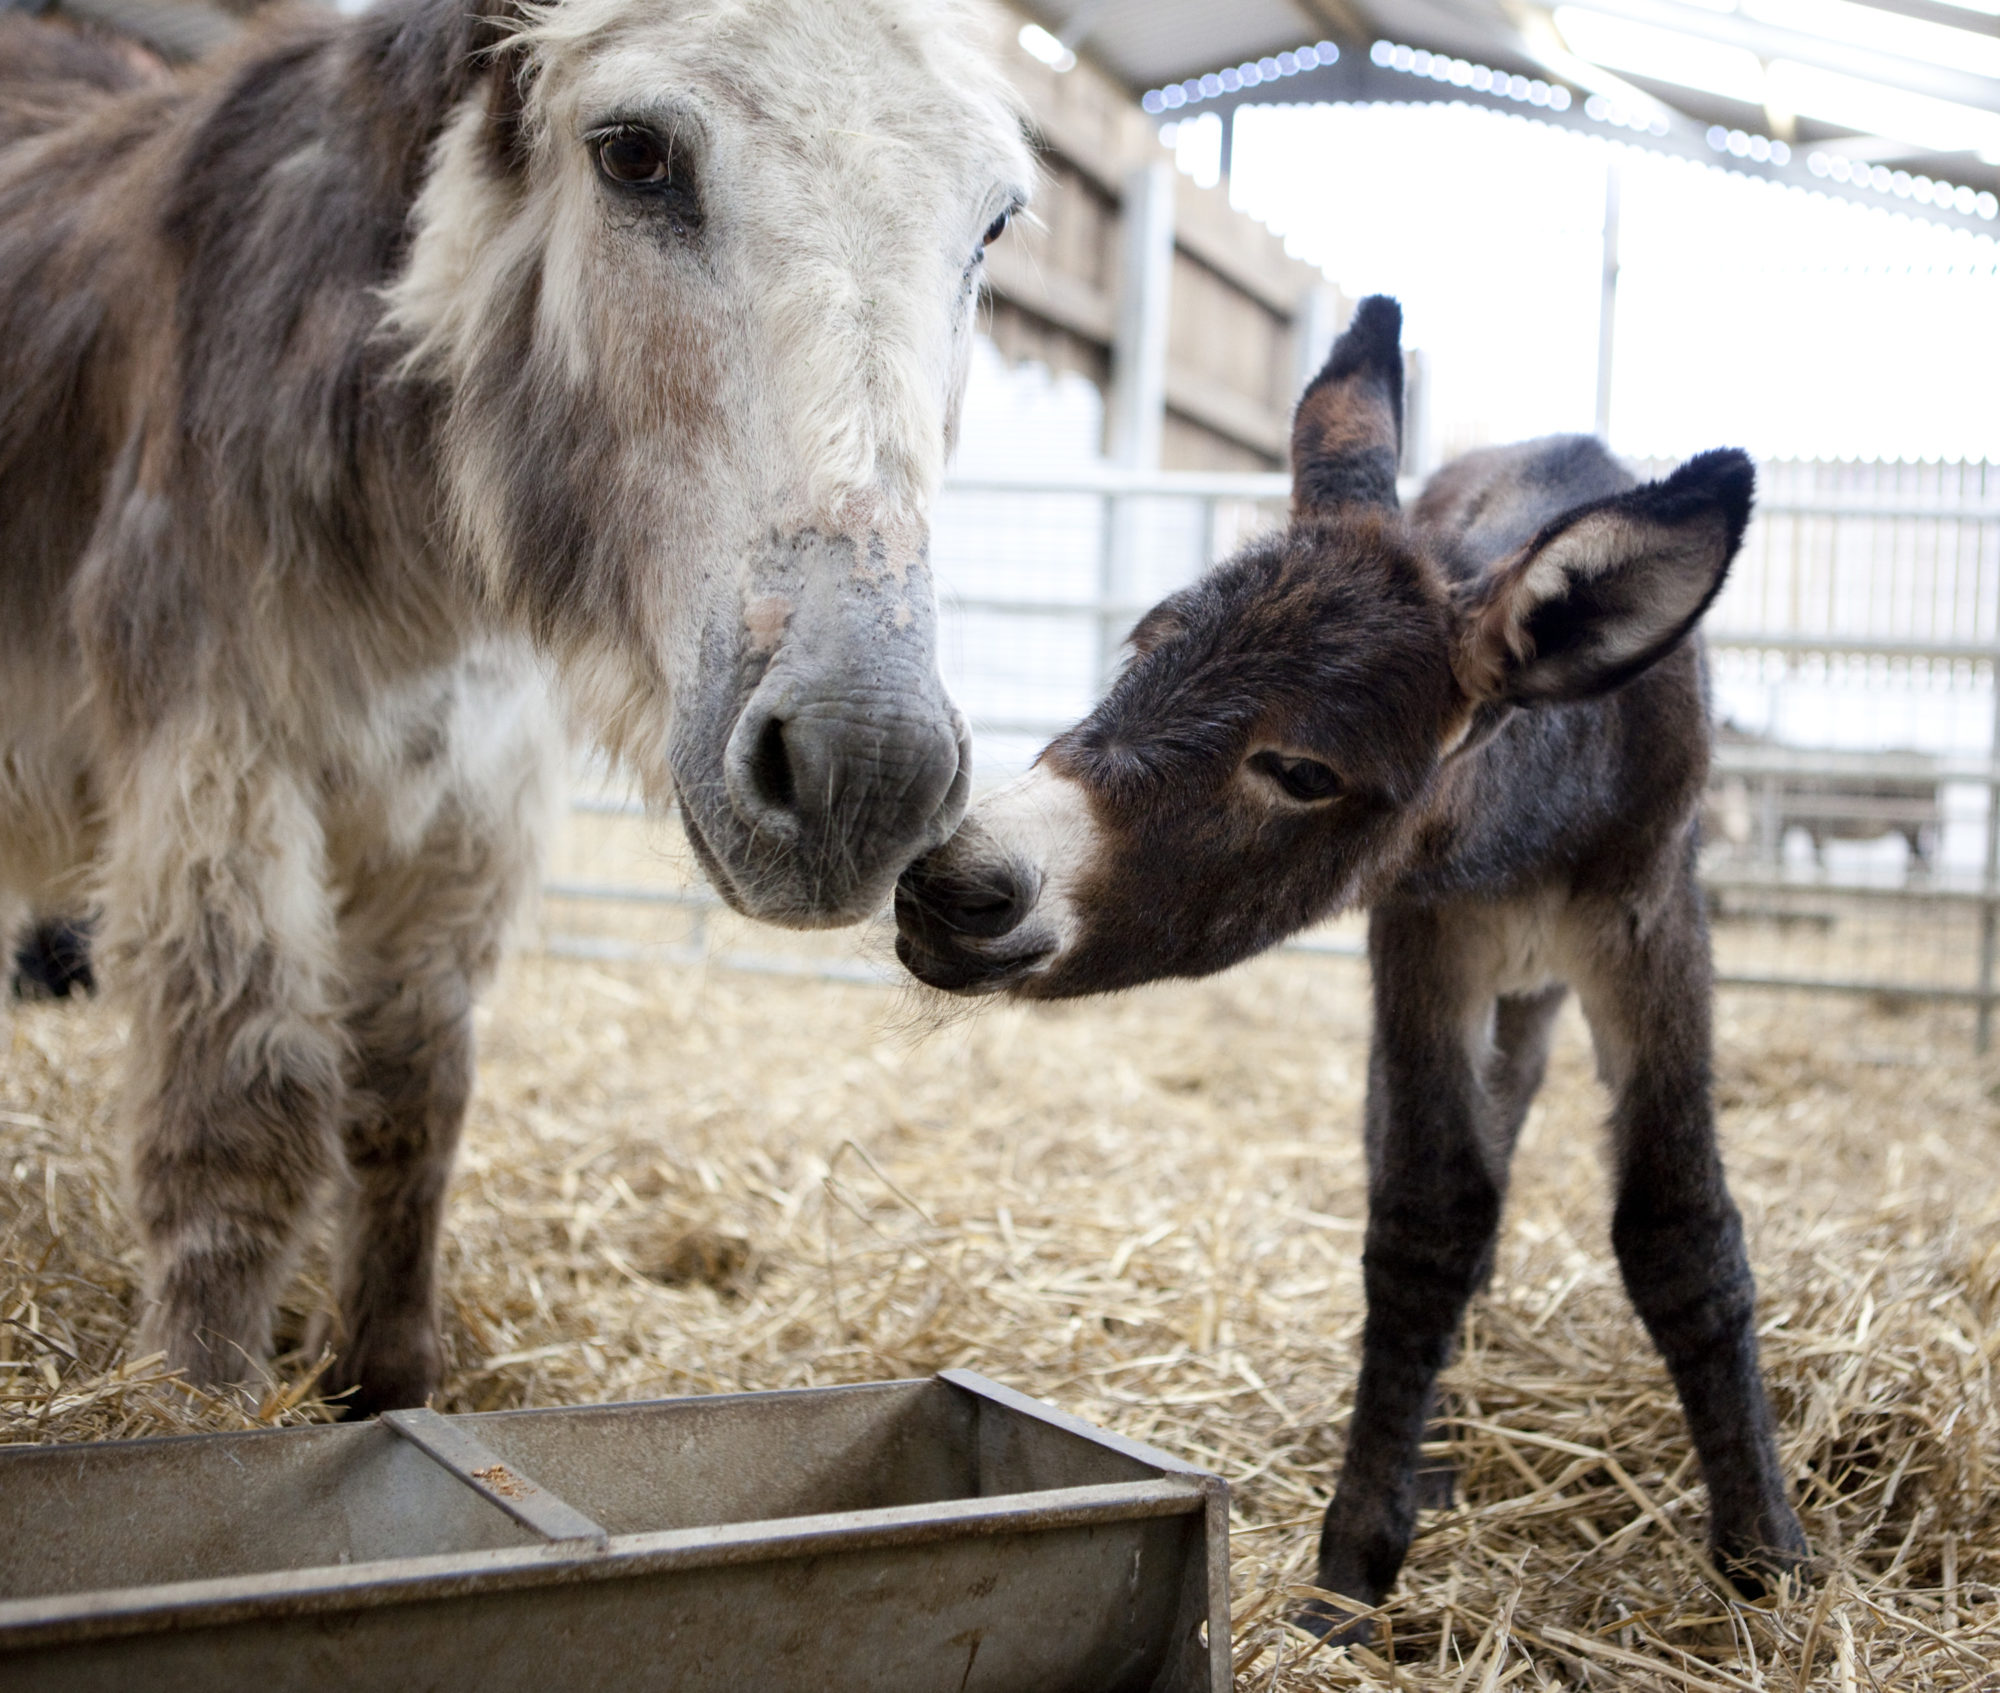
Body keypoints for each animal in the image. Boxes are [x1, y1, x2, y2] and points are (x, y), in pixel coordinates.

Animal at [900, 298, 1808, 1640]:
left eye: (1302, 772)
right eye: (1141, 648)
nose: (951, 884)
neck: (1534, 809)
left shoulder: (1649, 927)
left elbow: (1677, 1223)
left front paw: (1767, 1560)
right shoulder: (1425, 937)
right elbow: (1427, 1214)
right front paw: (1354, 1568)